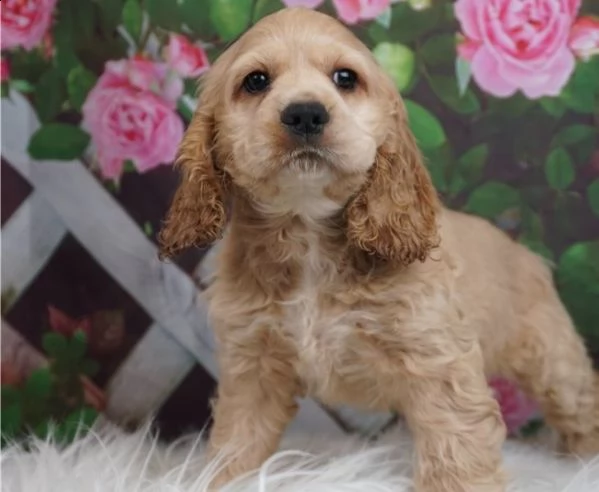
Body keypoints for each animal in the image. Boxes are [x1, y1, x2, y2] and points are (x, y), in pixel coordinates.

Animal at [159, 7, 599, 492]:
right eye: (255, 81)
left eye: (345, 78)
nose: (306, 113)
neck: (309, 233)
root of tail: (524, 251)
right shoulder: (253, 364)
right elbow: (238, 442)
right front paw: (224, 480)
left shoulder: (437, 361)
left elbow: (455, 450)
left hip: (554, 361)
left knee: (583, 407)